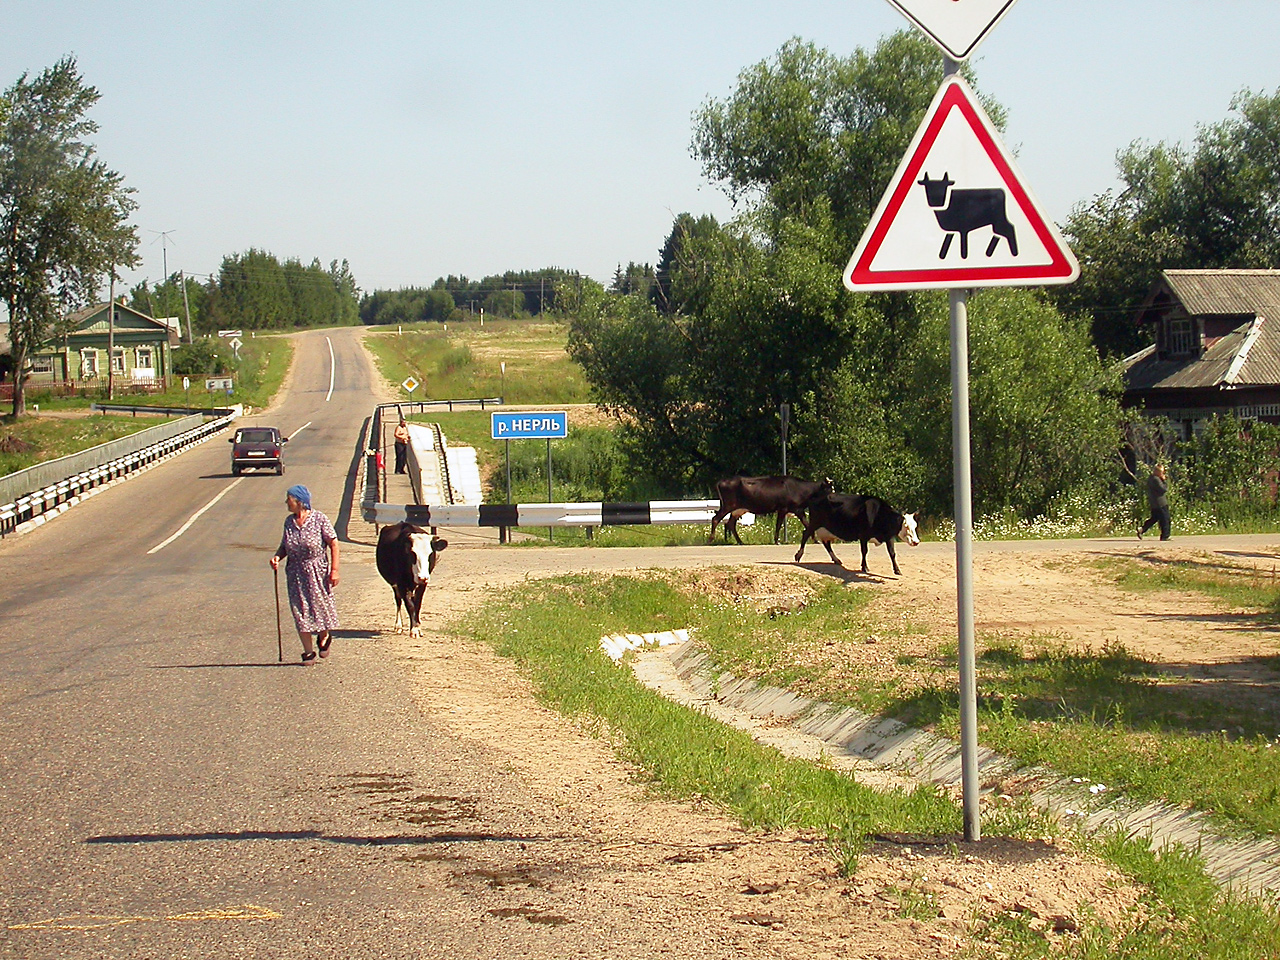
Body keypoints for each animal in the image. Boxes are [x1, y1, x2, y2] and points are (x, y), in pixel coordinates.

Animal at [788, 496, 921, 570]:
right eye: (906, 526)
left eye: (915, 526)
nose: (916, 542)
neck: (878, 514)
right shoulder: (863, 536)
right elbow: (864, 551)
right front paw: (864, 567)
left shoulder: (889, 537)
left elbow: (892, 553)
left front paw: (897, 570)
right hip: (815, 522)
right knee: (805, 533)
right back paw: (798, 555)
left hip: (826, 529)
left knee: (826, 543)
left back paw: (836, 559)